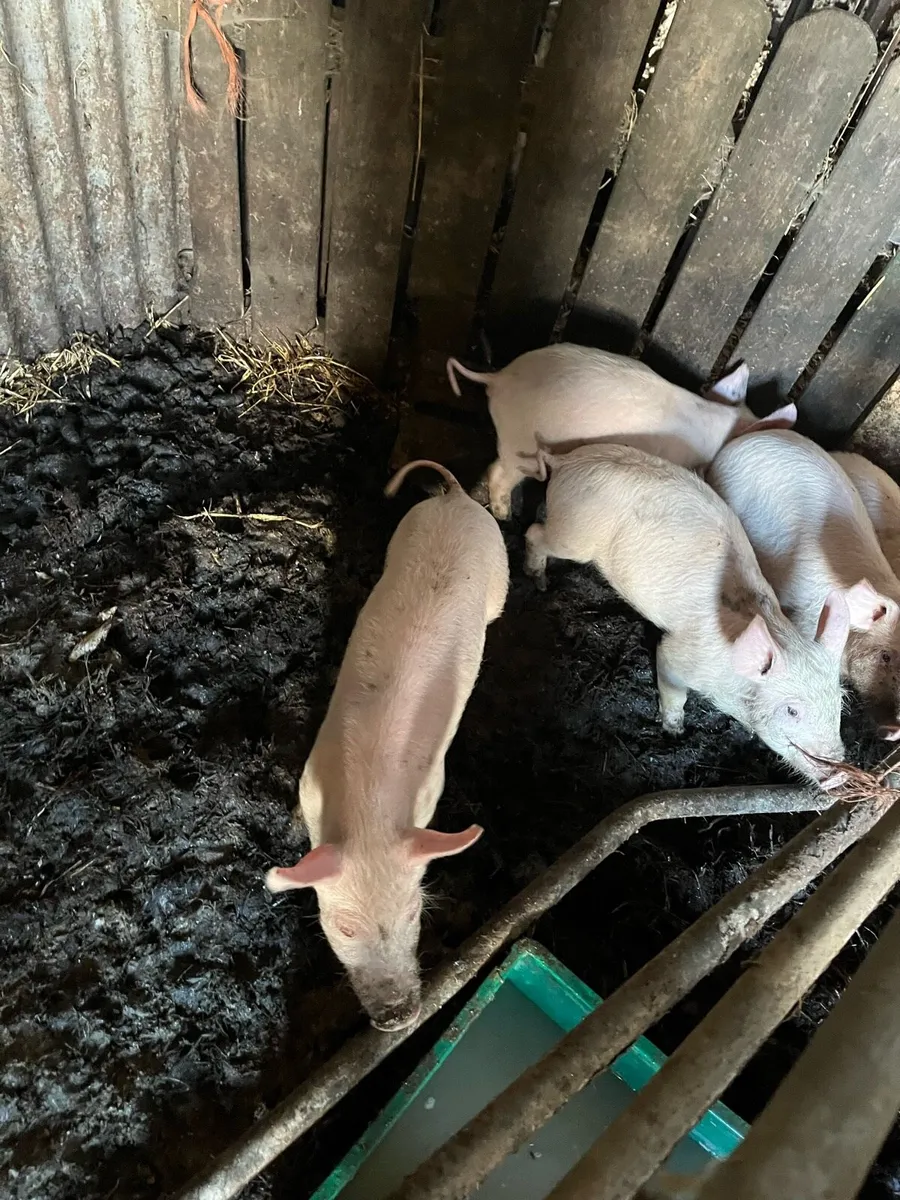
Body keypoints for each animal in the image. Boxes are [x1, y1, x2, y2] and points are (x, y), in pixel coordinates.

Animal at [265, 459, 509, 1031]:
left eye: (414, 912)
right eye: (345, 927)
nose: (399, 1017)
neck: (370, 813)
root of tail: (457, 499)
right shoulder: (309, 776)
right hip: (406, 531)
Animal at [524, 442, 850, 783]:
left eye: (840, 702)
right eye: (792, 710)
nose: (840, 774)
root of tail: (566, 461)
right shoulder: (677, 654)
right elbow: (673, 688)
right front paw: (674, 732)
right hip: (575, 534)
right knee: (534, 534)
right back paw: (539, 582)